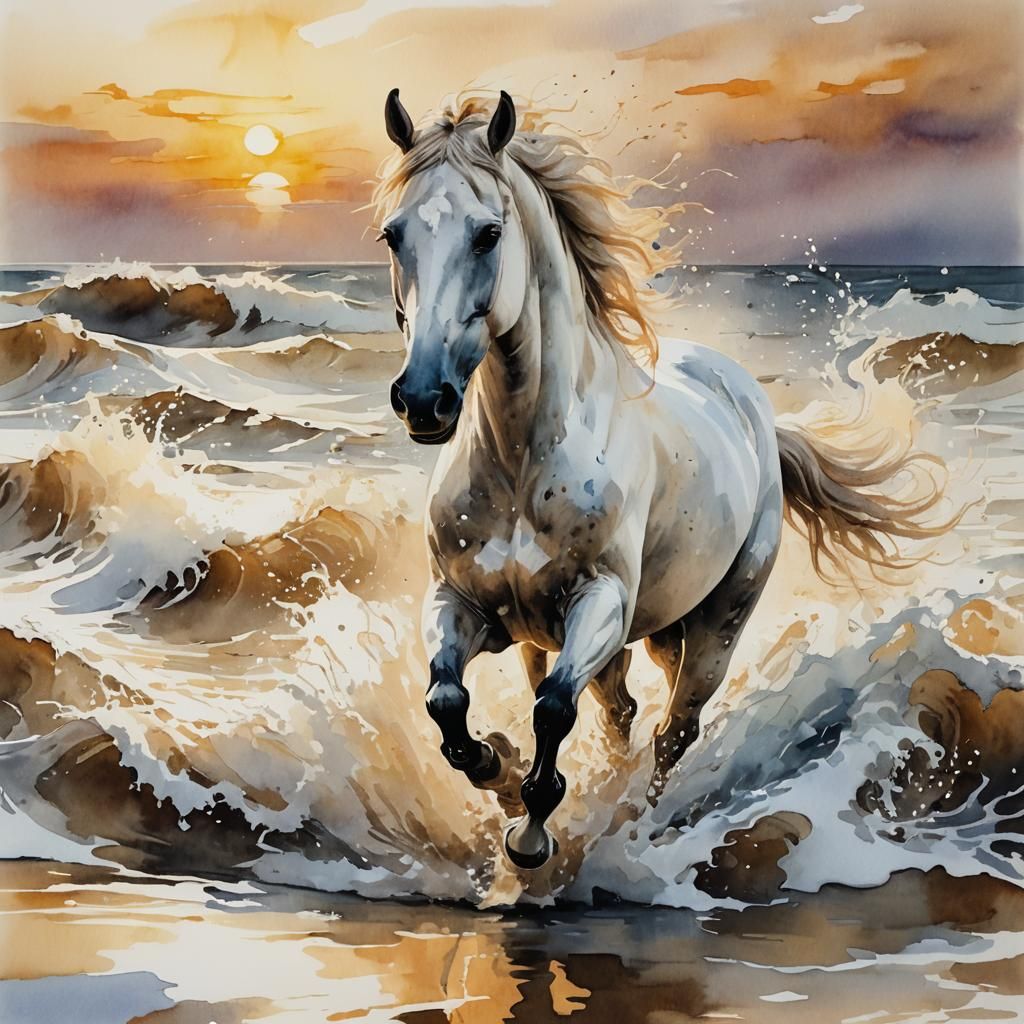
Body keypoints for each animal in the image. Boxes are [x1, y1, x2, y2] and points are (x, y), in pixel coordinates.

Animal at [374, 89, 942, 869]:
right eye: (393, 235)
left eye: (488, 234)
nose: (424, 399)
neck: (524, 465)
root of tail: (753, 408)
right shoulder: (465, 604)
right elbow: (447, 702)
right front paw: (500, 772)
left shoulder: (600, 604)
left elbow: (553, 709)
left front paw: (530, 832)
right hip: (609, 633)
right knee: (621, 712)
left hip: (713, 624)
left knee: (674, 728)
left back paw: (638, 821)